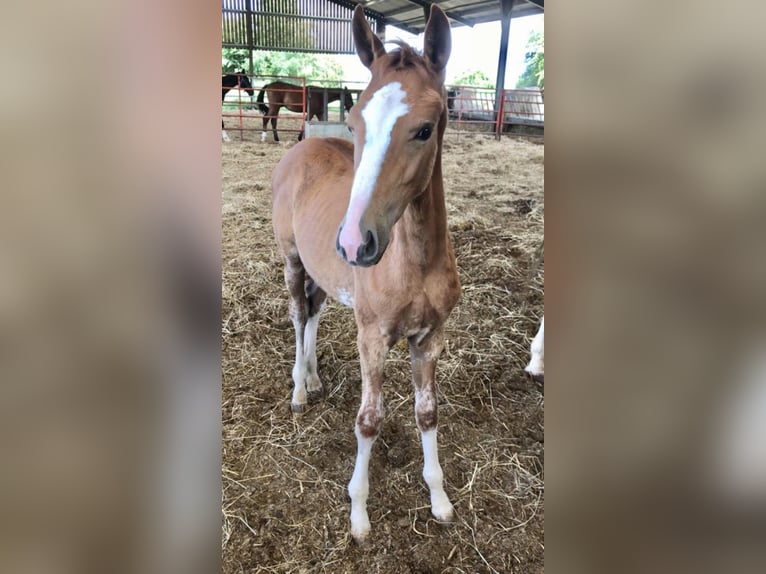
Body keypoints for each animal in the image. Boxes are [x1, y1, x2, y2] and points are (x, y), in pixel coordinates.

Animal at [272, 4, 460, 544]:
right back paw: (298, 389)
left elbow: (427, 413)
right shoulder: (372, 337)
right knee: (297, 315)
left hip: (325, 274)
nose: (356, 242)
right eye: (355, 123)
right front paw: (358, 514)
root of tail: (299, 150)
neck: (414, 263)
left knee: (313, 311)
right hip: (292, 260)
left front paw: (439, 499)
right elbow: (369, 421)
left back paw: (313, 377)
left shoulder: (430, 337)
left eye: (425, 129)